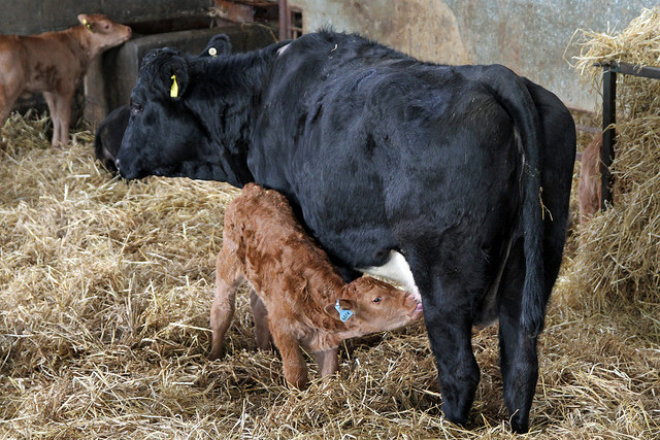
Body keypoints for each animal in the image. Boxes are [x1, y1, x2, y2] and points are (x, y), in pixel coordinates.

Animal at [0, 14, 131, 146]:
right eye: (106, 26)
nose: (129, 29)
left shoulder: (49, 89)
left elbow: (55, 116)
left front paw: (55, 144)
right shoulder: (66, 85)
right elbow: (64, 116)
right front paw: (65, 143)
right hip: (8, 92)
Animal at [116, 31, 576, 434]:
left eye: (136, 105)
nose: (118, 161)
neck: (263, 94)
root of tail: (495, 74)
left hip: (443, 275)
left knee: (460, 367)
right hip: (534, 260)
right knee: (520, 358)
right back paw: (515, 424)